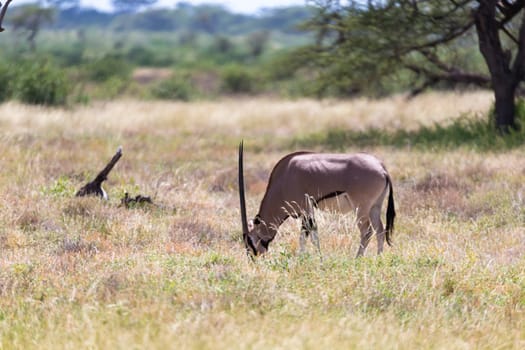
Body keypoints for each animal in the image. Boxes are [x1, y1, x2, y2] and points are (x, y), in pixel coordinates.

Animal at [236, 141, 392, 258]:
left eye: (249, 240)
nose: (253, 258)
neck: (283, 178)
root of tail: (381, 167)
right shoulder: (305, 212)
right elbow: (304, 236)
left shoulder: (306, 208)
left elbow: (312, 236)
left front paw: (317, 258)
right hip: (374, 207)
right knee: (380, 230)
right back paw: (379, 258)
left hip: (361, 208)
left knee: (367, 231)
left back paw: (357, 258)